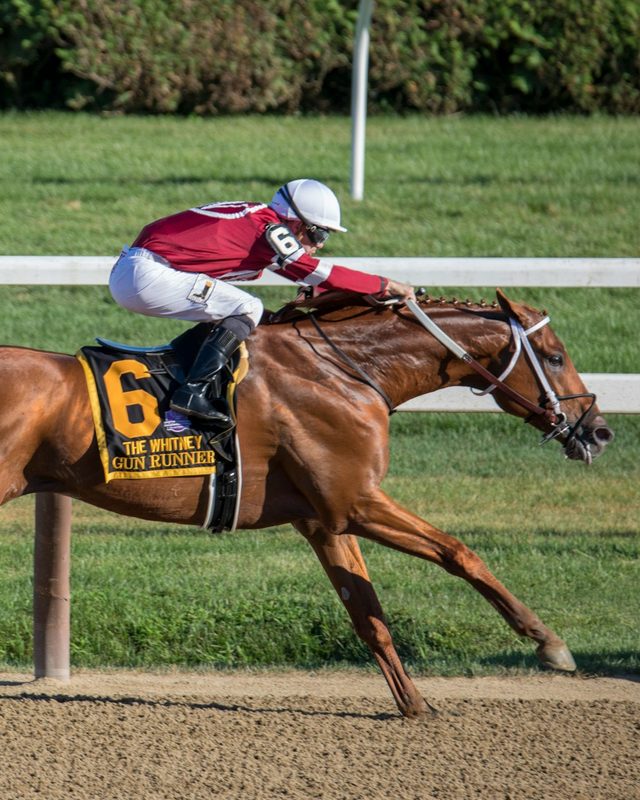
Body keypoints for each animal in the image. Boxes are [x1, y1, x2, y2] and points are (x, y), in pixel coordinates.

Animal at [0, 289, 613, 718]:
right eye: (554, 357)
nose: (598, 430)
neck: (343, 370)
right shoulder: (355, 502)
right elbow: (458, 552)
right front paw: (549, 644)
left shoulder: (323, 520)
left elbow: (369, 615)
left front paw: (413, 703)